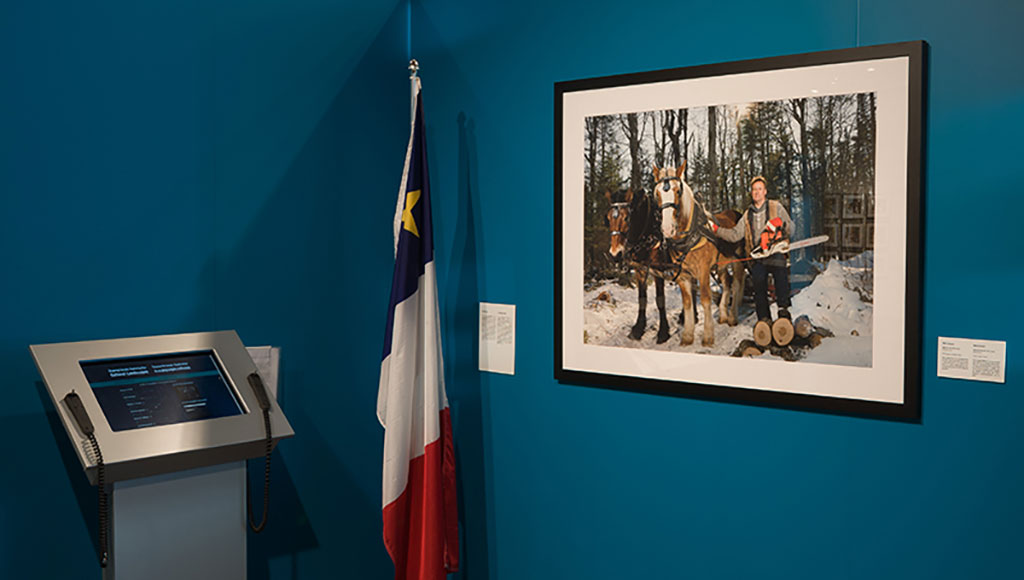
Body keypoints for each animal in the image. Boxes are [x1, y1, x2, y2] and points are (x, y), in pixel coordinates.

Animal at [606, 190, 671, 344]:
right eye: (608, 218)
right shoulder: (640, 270)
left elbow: (660, 300)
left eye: (627, 218)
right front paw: (638, 329)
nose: (615, 254)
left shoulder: (659, 270)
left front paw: (663, 332)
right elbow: (642, 298)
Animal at [651, 161, 733, 348]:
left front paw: (708, 336)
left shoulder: (703, 270)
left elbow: (705, 299)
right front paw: (687, 336)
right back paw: (724, 313)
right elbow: (687, 303)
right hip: (721, 264)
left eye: (677, 191)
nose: (667, 229)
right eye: (657, 194)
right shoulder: (682, 275)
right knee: (726, 282)